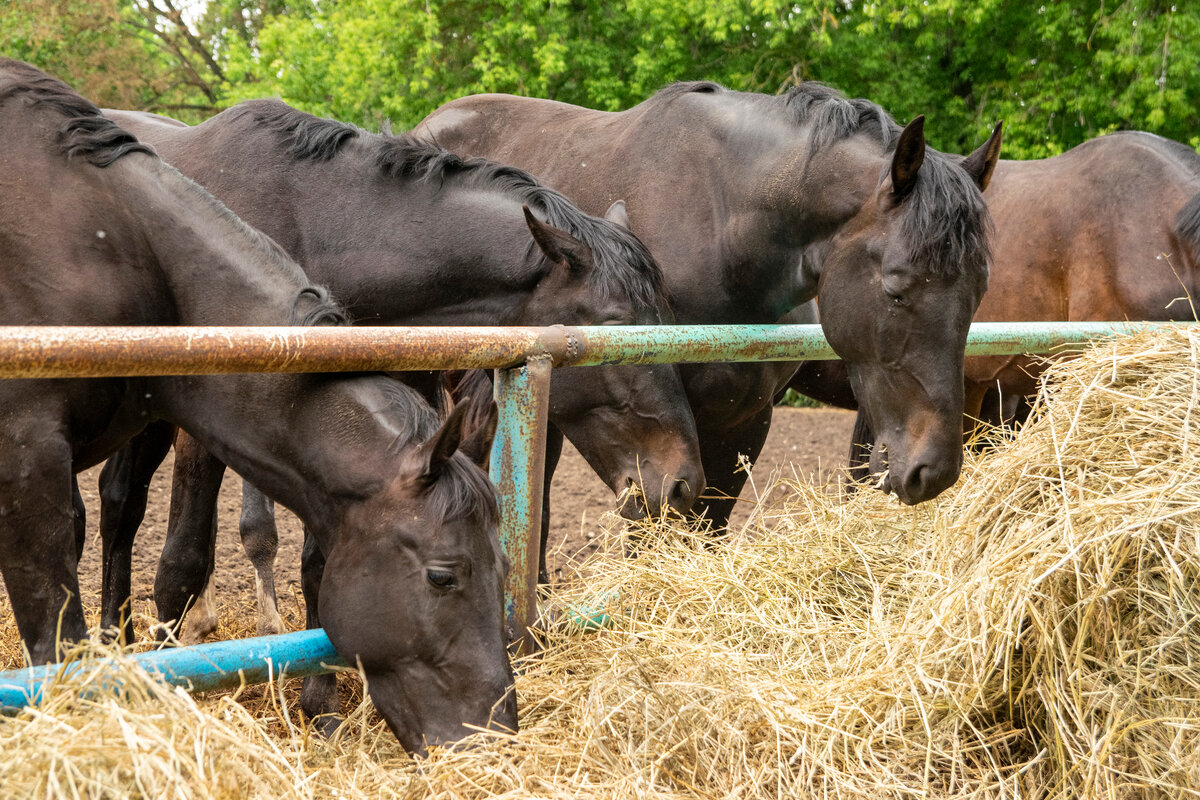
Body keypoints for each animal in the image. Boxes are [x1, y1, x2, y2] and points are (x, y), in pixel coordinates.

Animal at [417, 77, 998, 522]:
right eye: (897, 290)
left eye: (978, 293)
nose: (934, 471)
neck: (723, 230)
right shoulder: (658, 437)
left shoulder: (741, 423)